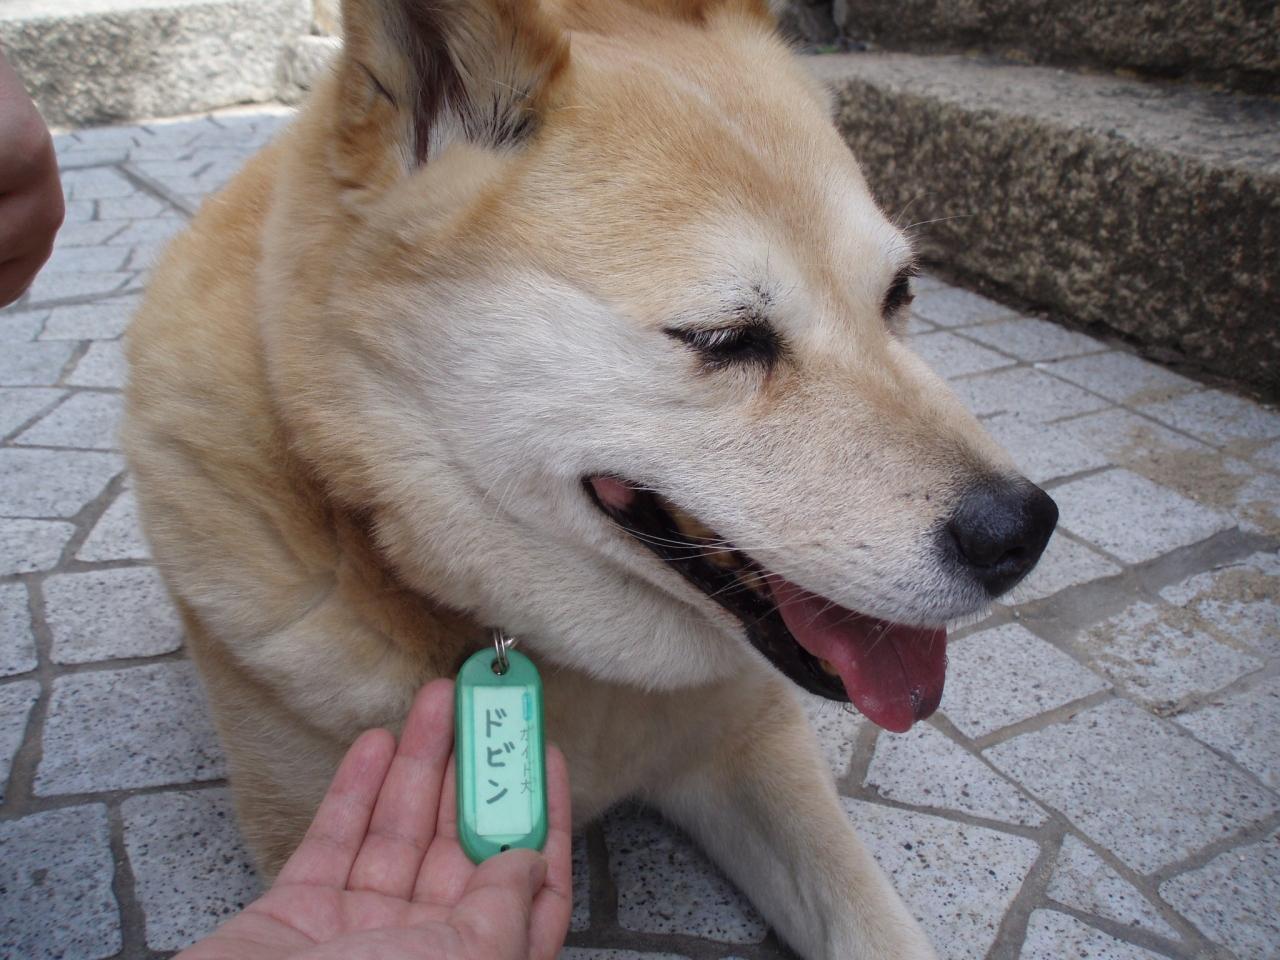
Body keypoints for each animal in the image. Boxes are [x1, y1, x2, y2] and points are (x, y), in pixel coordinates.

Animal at [122, 0, 1057, 955]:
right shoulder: (303, 837)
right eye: (723, 339)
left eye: (899, 292)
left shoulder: (755, 739)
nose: (1022, 532)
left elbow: (872, 923)